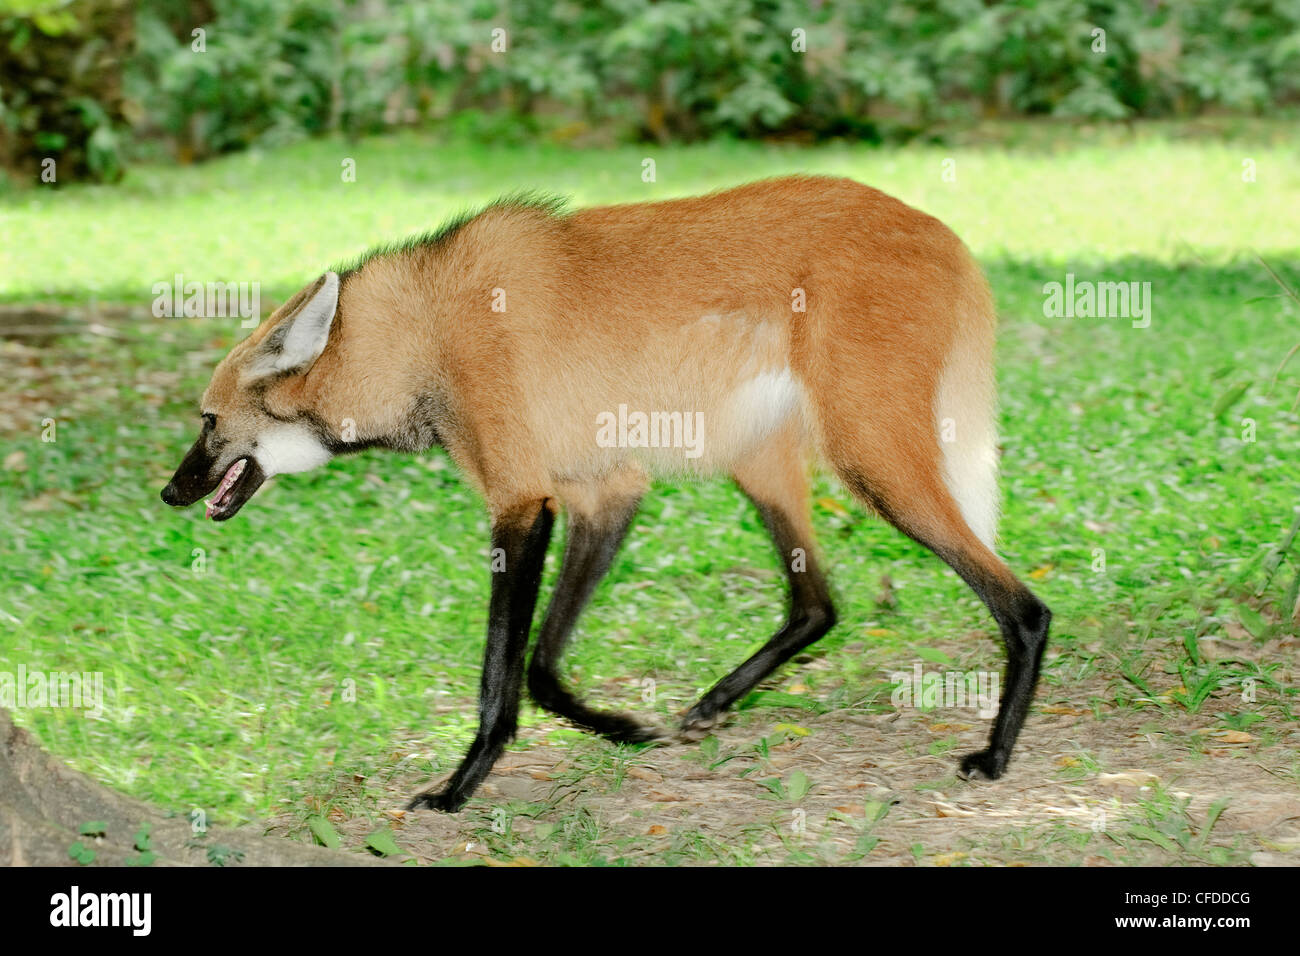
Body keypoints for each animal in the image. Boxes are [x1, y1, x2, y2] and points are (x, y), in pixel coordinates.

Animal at [165, 175, 1055, 811]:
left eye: (207, 423)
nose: (172, 492)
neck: (420, 343)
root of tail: (942, 228)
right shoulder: (603, 492)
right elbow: (541, 667)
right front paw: (624, 730)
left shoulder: (522, 505)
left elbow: (502, 676)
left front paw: (458, 789)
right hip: (757, 456)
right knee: (817, 605)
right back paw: (713, 704)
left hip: (870, 461)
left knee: (1025, 607)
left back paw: (996, 754)